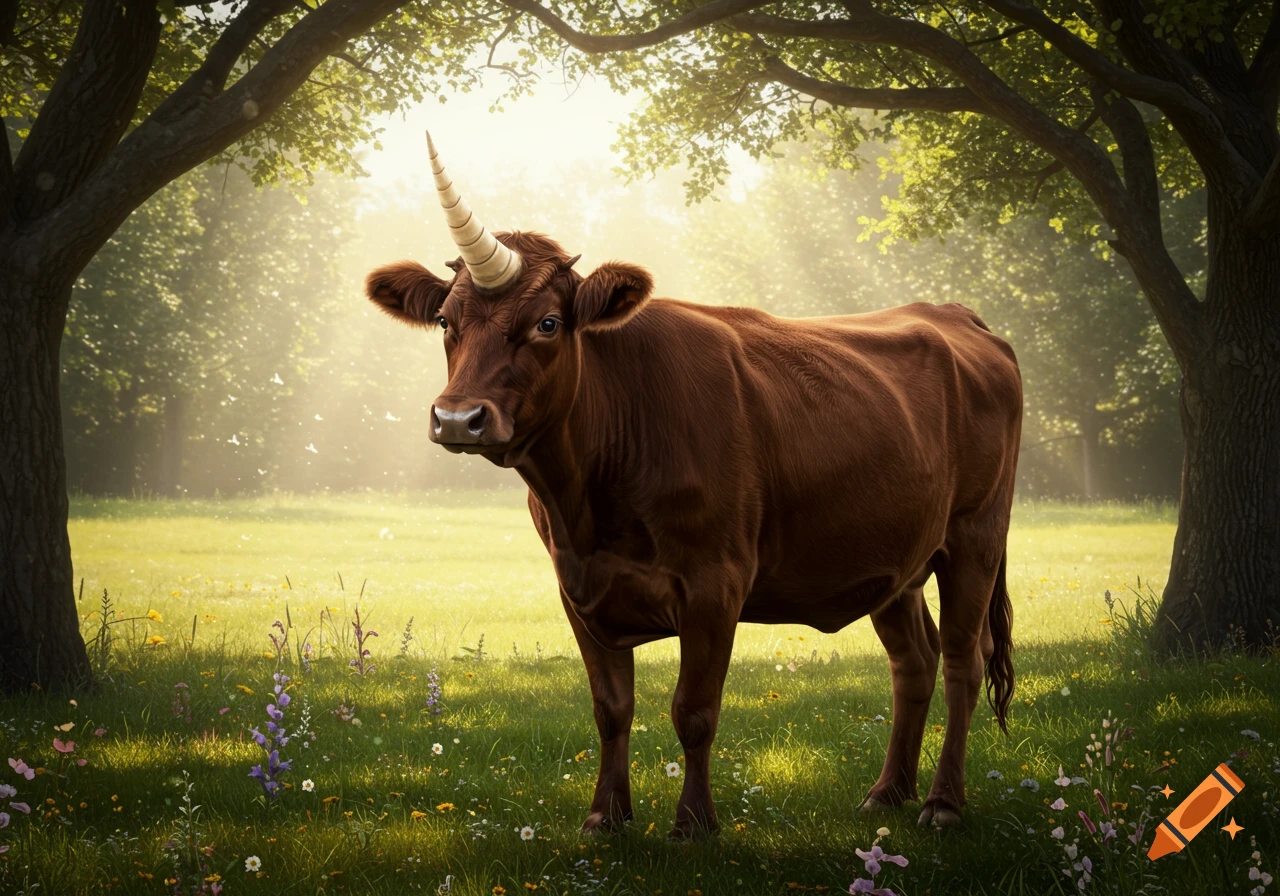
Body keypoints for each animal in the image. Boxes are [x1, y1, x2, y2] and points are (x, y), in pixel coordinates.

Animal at [366, 133, 1023, 839]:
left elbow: (694, 710)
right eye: (444, 321)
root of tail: (955, 314)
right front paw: (605, 818)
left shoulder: (717, 582)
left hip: (975, 537)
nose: (458, 418)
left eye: (547, 323)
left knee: (962, 661)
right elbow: (611, 709)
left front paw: (693, 825)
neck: (590, 509)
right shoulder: (577, 587)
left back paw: (941, 802)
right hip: (894, 559)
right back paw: (887, 792)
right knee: (914, 663)